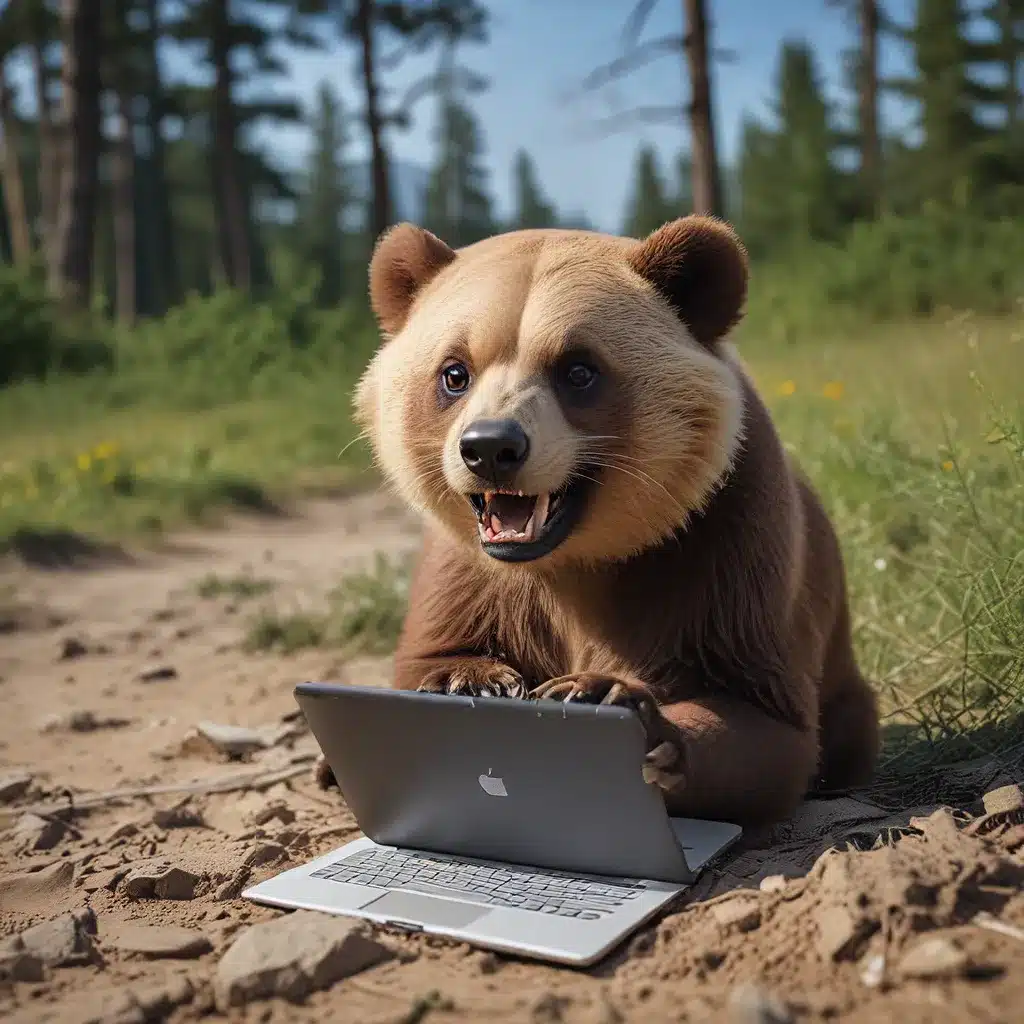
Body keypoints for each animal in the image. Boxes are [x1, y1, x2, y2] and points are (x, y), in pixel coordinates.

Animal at [319, 218, 880, 831]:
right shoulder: (470, 567)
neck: (573, 556)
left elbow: (762, 713)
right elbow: (431, 652)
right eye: (454, 372)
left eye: (578, 370)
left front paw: (601, 696)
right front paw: (468, 680)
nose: (491, 448)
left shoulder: (724, 535)